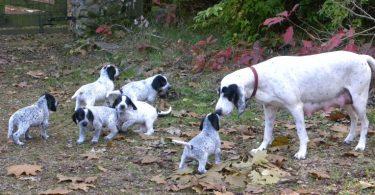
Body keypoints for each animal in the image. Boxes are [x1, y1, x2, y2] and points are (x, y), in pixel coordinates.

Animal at [214, 51, 375, 159]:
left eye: (228, 94)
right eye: (219, 92)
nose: (217, 111)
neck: (262, 77)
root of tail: (361, 57)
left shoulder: (296, 108)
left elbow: (301, 133)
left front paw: (302, 152)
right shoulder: (269, 109)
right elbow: (267, 133)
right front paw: (261, 148)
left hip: (359, 101)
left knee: (365, 122)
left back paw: (361, 145)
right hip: (347, 102)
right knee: (354, 118)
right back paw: (349, 138)